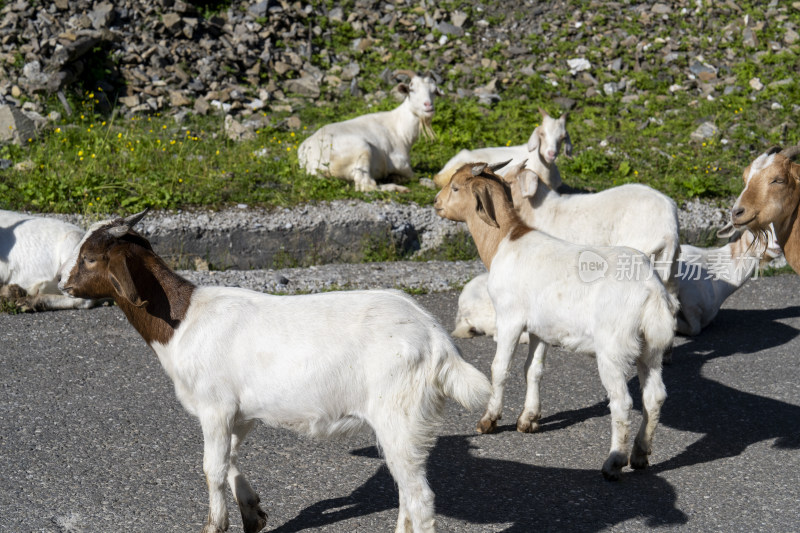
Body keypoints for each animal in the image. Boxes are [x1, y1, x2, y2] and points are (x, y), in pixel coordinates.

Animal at [57, 208, 488, 532]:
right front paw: (253, 513)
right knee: (405, 491)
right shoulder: (242, 412)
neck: (182, 322)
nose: (62, 282)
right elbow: (230, 457)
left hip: (400, 413)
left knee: (420, 496)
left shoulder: (215, 407)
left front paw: (216, 525)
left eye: (90, 257)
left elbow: (212, 467)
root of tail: (437, 339)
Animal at [296, 69, 444, 192]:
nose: (428, 105)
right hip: (362, 151)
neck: (399, 129)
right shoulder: (399, 163)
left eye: (434, 91)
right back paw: (399, 188)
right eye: (412, 89)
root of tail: (311, 158)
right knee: (366, 186)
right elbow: (413, 175)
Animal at [438, 161, 676, 478]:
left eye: (455, 187)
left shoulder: (510, 317)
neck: (505, 240)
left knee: (622, 402)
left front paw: (489, 420)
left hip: (613, 350)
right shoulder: (541, 329)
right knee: (654, 397)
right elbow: (533, 370)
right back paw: (639, 455)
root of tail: (651, 292)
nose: (436, 203)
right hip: (651, 348)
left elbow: (499, 368)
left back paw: (614, 462)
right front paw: (528, 419)